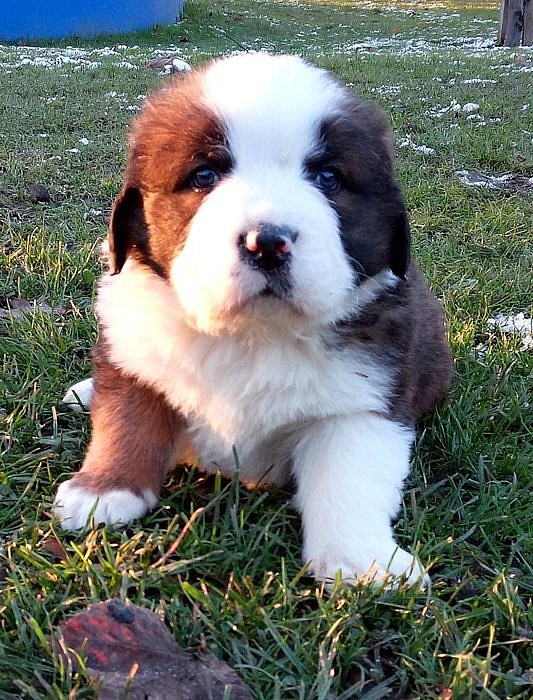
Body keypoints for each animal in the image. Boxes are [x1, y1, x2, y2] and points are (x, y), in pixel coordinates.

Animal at [55, 53, 453, 586]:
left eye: (328, 179)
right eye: (204, 175)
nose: (267, 243)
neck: (252, 336)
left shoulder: (365, 401)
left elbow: (350, 478)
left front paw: (361, 560)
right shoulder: (133, 346)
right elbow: (127, 419)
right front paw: (104, 490)